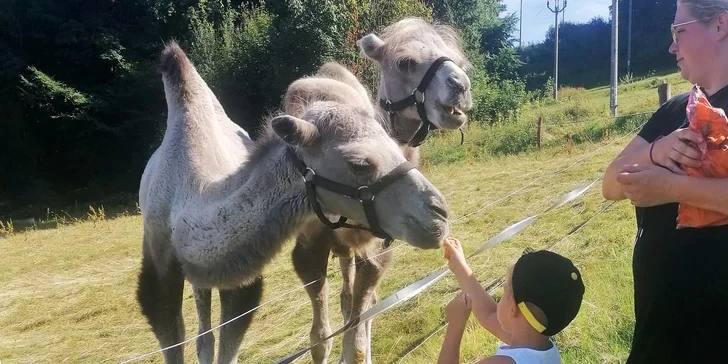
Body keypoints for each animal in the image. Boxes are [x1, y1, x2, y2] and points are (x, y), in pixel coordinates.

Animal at [284, 17, 472, 364]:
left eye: (460, 61)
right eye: (405, 62)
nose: (461, 86)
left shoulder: (380, 245)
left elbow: (358, 334)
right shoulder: (308, 245)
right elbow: (320, 339)